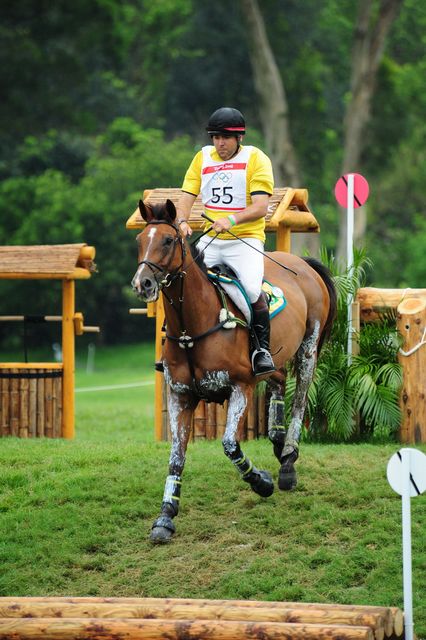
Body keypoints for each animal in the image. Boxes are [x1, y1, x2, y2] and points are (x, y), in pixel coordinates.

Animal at [131, 198, 337, 543]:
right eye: (139, 241)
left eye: (168, 240)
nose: (142, 284)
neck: (191, 328)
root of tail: (303, 264)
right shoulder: (180, 396)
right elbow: (176, 457)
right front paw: (165, 517)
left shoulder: (241, 386)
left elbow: (229, 445)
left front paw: (262, 483)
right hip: (274, 358)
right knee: (278, 380)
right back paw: (279, 443)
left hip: (308, 349)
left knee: (299, 399)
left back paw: (287, 463)